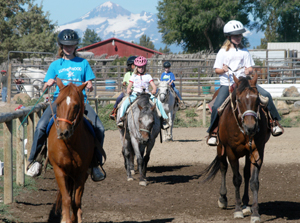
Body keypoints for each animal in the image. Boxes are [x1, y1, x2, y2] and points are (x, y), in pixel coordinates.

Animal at [47, 78, 94, 223]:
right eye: (57, 104)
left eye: (76, 106)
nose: (63, 132)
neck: (69, 145)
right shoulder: (59, 170)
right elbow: (67, 199)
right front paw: (65, 219)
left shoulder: (81, 173)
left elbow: (76, 201)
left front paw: (76, 218)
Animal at [203, 73, 270, 223]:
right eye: (239, 100)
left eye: (257, 99)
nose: (251, 127)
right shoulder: (230, 151)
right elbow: (236, 179)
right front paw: (238, 210)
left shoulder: (257, 151)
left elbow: (253, 181)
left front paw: (255, 213)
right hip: (220, 148)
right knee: (223, 167)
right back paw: (223, 199)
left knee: (246, 173)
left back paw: (246, 205)